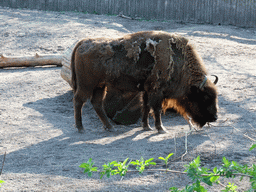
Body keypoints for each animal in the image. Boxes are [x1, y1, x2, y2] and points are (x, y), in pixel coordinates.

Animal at [71, 31, 218, 134]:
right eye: (204, 97)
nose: (215, 117)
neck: (177, 60)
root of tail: (82, 42)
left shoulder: (147, 91)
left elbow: (146, 107)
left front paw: (146, 127)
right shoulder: (156, 92)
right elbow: (156, 109)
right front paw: (161, 129)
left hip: (100, 86)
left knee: (97, 104)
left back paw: (110, 127)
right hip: (87, 85)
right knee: (79, 101)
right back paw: (81, 128)